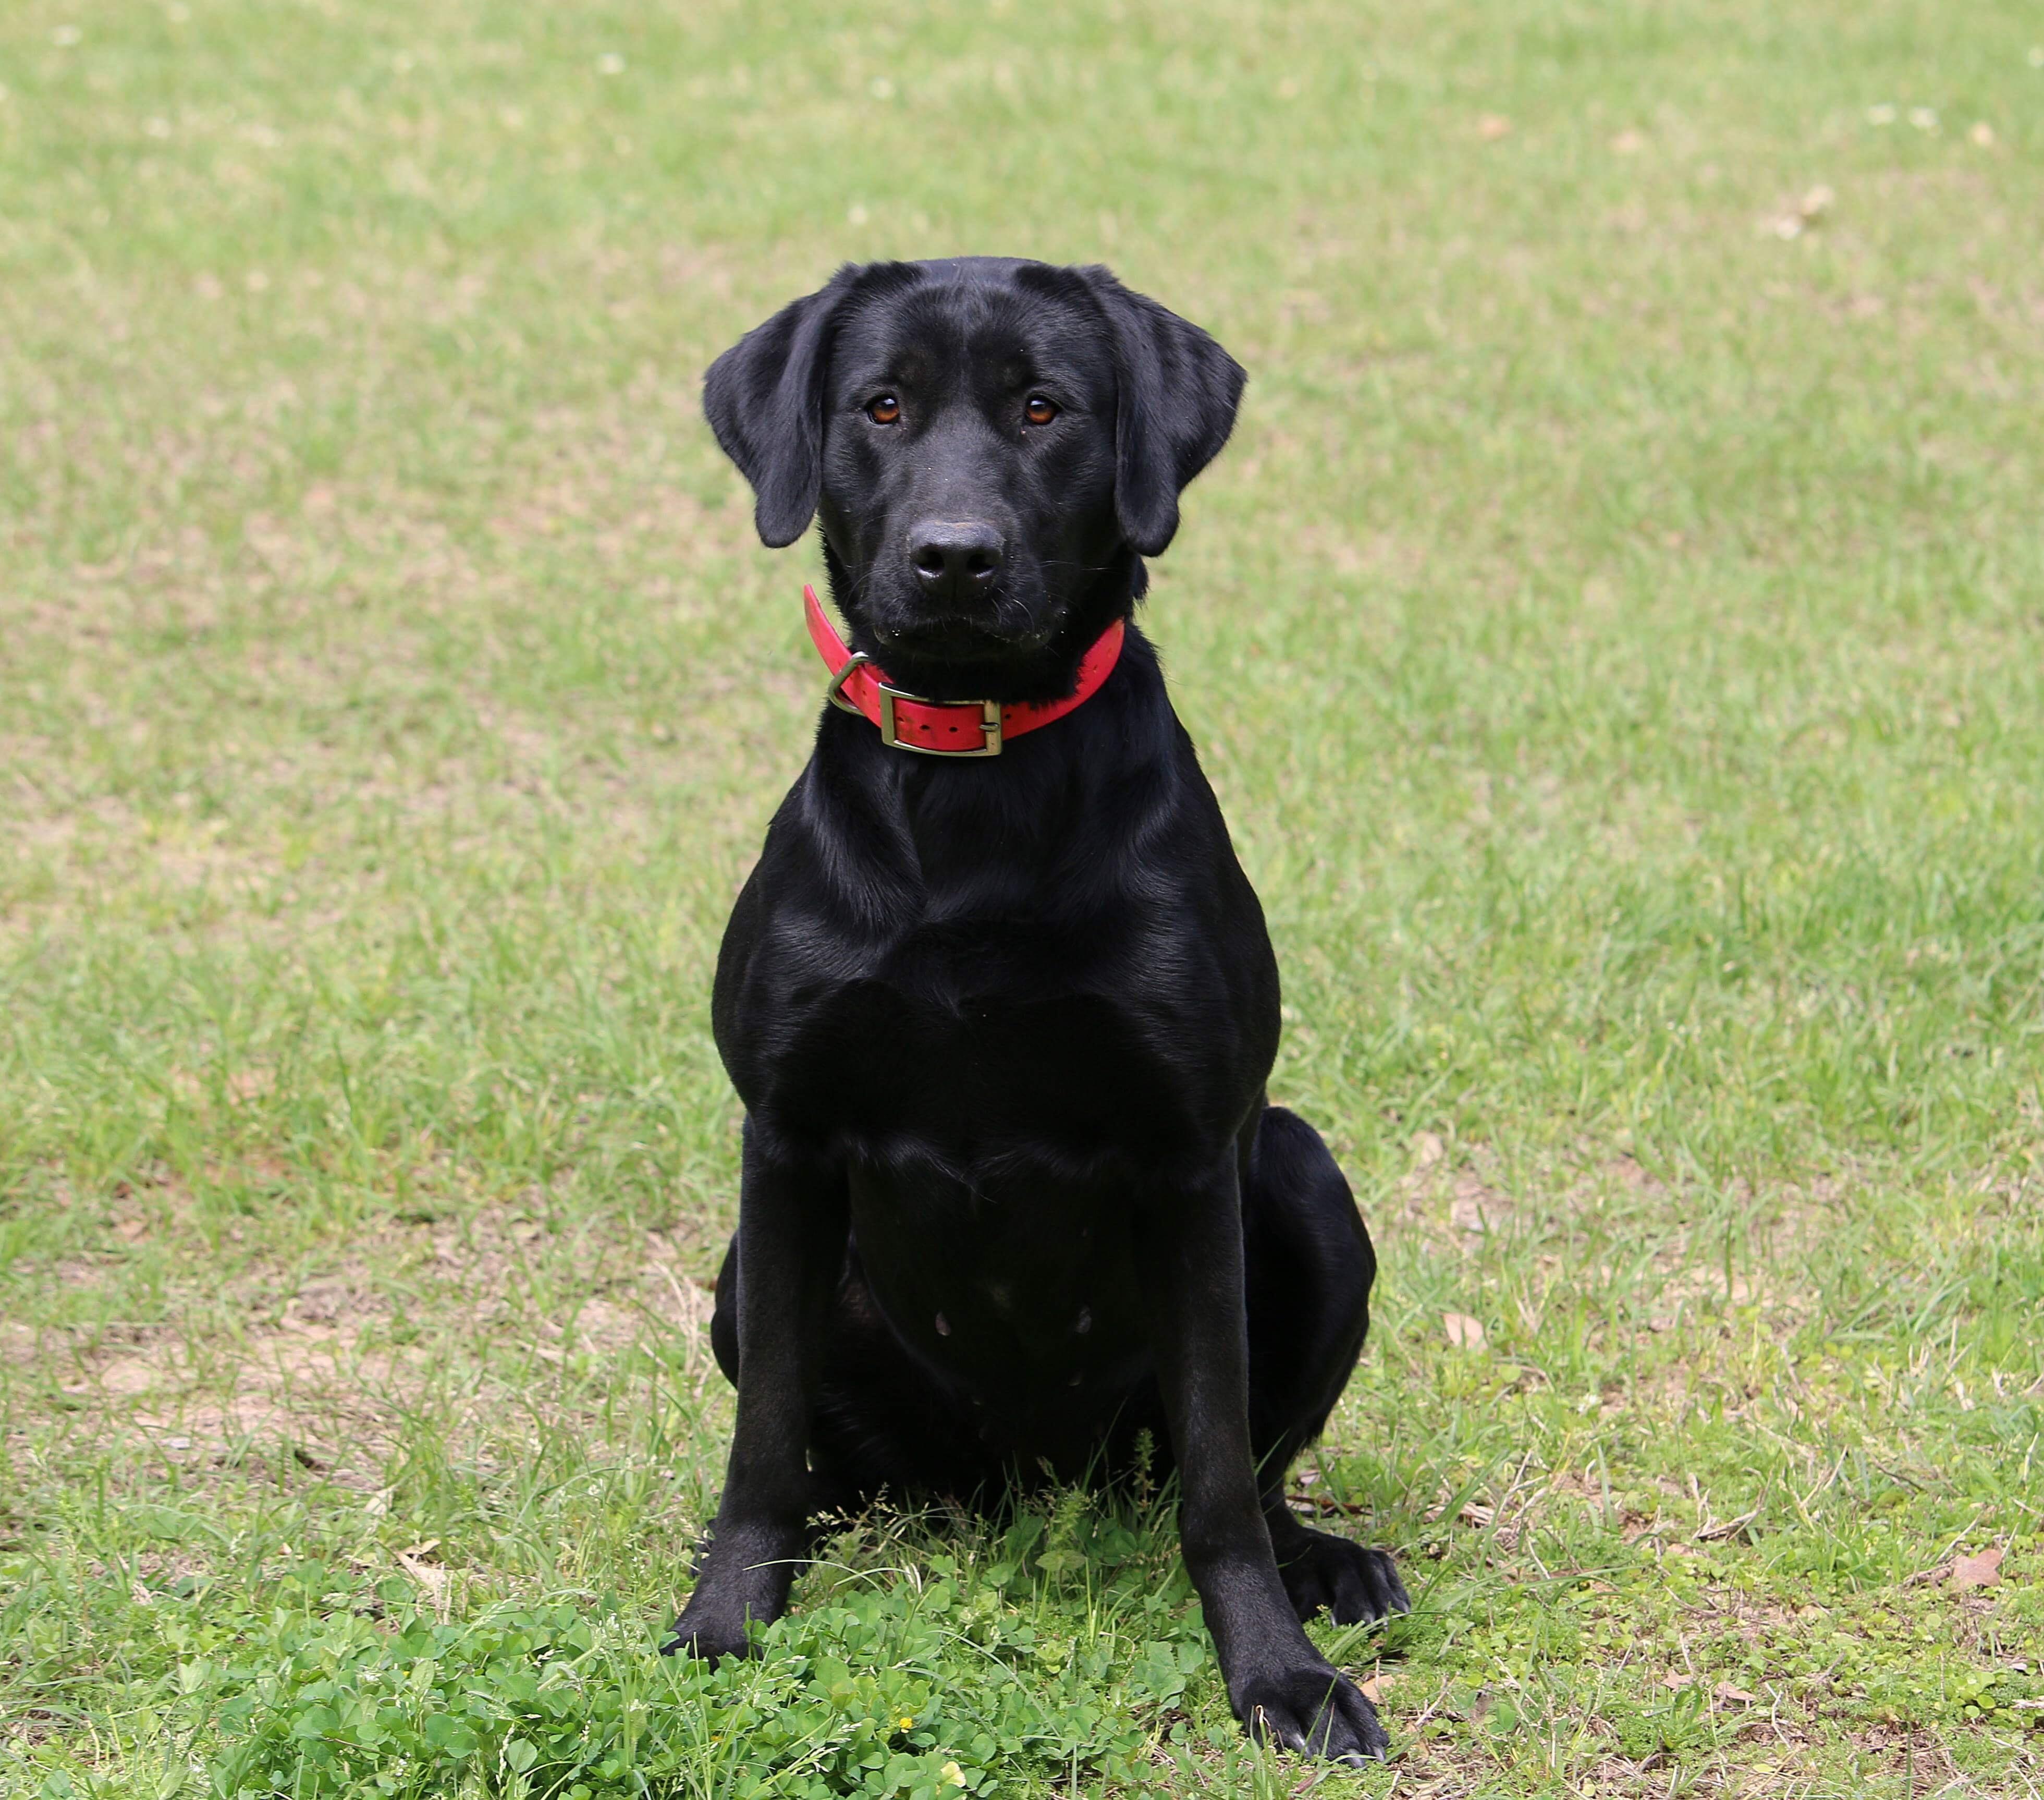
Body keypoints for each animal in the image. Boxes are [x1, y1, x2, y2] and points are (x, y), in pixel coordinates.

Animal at [667, 258, 1408, 1762]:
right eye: (882, 405)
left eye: (1043, 408)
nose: (954, 555)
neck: (979, 786)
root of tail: (1024, 1483)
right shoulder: (784, 1137)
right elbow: (760, 1444)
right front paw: (728, 1614)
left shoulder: (1192, 1155)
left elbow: (1221, 1474)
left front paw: (1275, 1672)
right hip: (741, 1277)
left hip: (1305, 1179)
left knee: (1255, 1462)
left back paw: (1324, 1561)